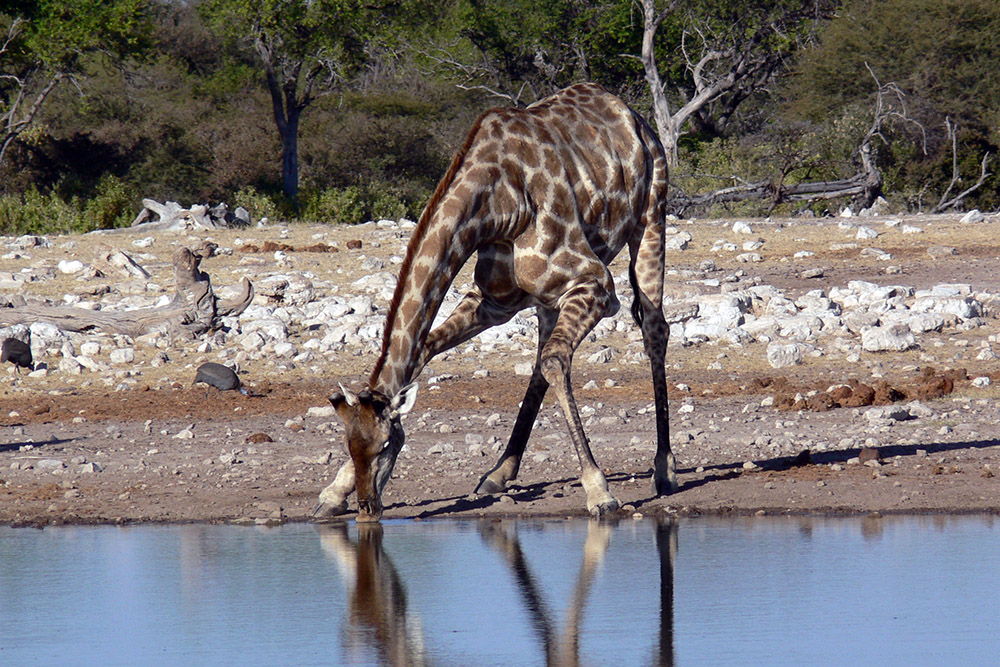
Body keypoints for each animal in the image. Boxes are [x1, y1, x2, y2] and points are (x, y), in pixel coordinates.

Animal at [316, 82, 674, 522]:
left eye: (385, 445)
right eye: (350, 445)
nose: (367, 509)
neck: (497, 206)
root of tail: (634, 117)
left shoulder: (596, 284)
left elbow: (555, 362)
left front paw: (599, 491)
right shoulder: (494, 302)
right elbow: (424, 350)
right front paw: (334, 491)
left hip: (651, 215)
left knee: (653, 330)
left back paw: (665, 468)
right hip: (547, 298)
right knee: (543, 357)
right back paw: (500, 471)